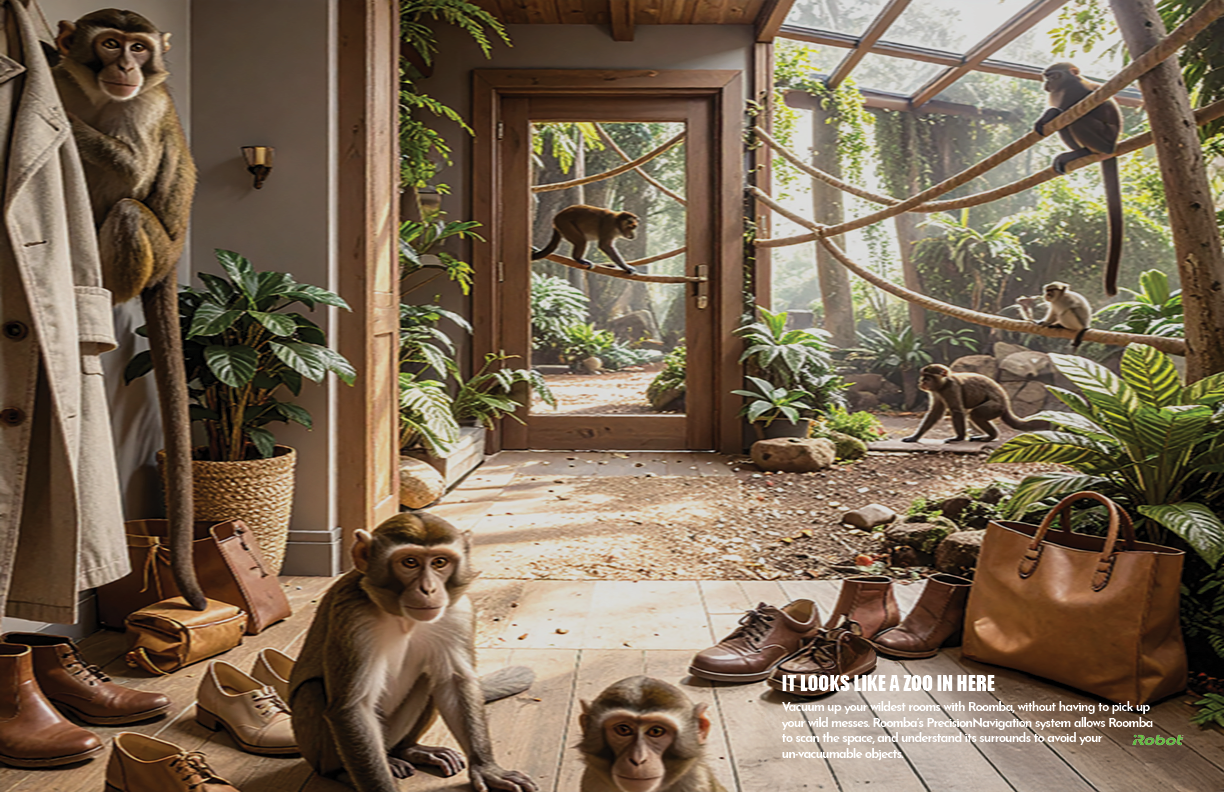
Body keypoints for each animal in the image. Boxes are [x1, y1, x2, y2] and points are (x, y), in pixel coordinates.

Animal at [52, 10, 204, 610]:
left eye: (139, 48)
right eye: (111, 43)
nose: (126, 66)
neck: (99, 95)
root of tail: (174, 260)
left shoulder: (147, 107)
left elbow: (136, 170)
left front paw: (67, 122)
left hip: (153, 251)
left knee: (130, 211)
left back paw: (96, 284)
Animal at [289, 512, 538, 792]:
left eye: (440, 562)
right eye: (409, 562)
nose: (428, 589)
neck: (402, 618)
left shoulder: (458, 613)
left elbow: (454, 683)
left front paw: (487, 768)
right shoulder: (354, 617)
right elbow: (353, 707)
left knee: (430, 678)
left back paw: (409, 750)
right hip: (322, 753)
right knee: (311, 691)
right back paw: (344, 772)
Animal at [901, 364, 1051, 444]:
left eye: (927, 377)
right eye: (923, 376)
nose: (921, 381)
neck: (943, 384)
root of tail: (1005, 401)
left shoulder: (951, 387)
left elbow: (957, 410)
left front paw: (959, 438)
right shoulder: (936, 391)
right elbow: (934, 413)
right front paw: (915, 437)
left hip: (996, 406)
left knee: (975, 414)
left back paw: (991, 436)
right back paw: (990, 436)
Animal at [1034, 62, 1124, 296]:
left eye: (1054, 76)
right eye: (1047, 76)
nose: (1047, 84)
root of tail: (1114, 143)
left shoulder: (1073, 91)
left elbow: (1064, 111)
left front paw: (1047, 115)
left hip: (1104, 135)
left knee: (1075, 119)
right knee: (1067, 123)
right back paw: (1079, 153)